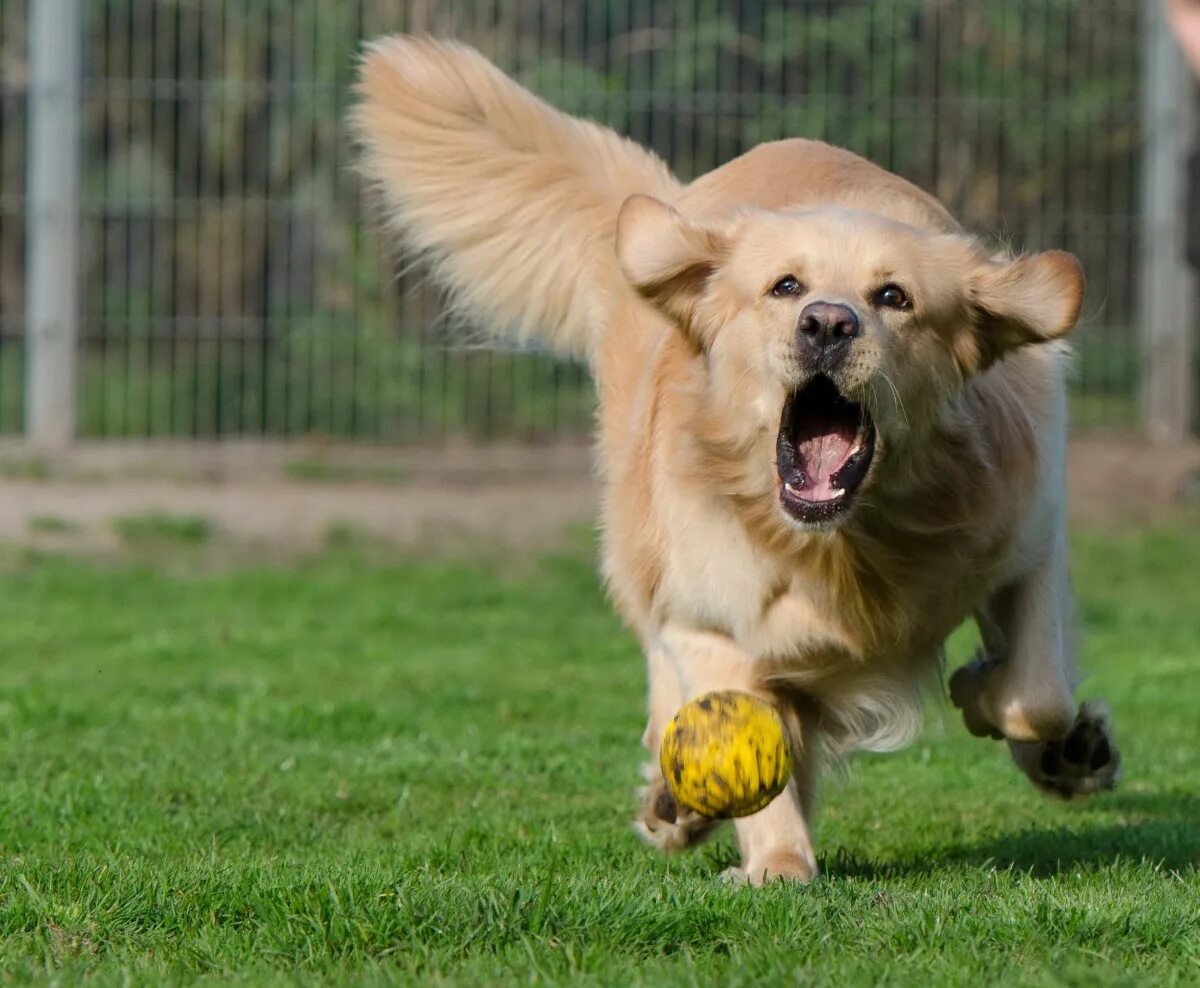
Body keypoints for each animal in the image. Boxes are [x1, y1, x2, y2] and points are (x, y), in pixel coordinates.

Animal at [350, 34, 1118, 883]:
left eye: (894, 298)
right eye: (785, 287)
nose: (827, 324)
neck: (843, 547)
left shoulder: (1028, 538)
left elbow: (1037, 692)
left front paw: (1002, 703)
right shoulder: (709, 618)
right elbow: (750, 733)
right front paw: (776, 863)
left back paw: (1070, 754)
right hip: (640, 546)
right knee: (665, 670)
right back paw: (676, 803)